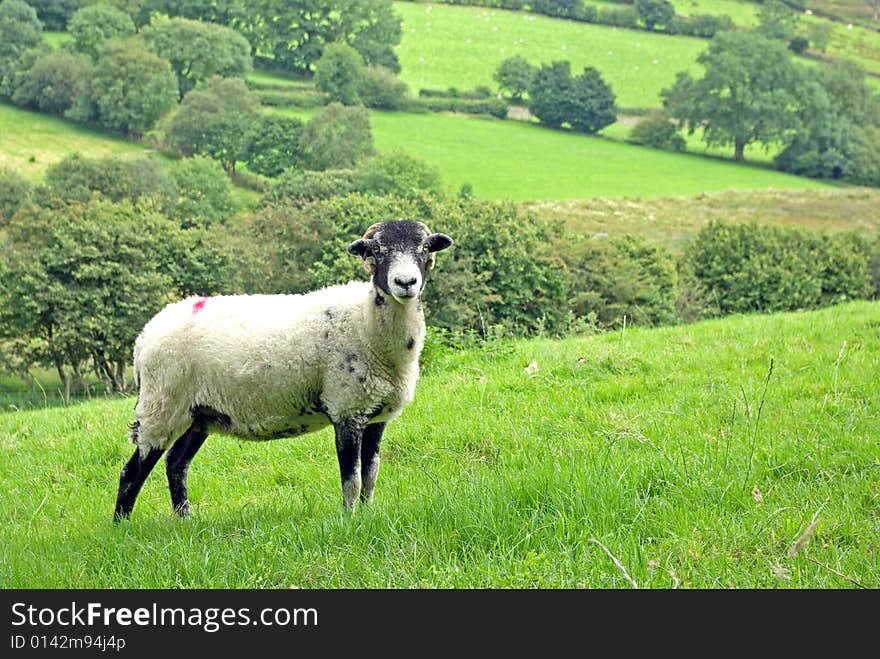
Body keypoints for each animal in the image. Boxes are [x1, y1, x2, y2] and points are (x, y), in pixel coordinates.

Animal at [111, 220, 454, 520]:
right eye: (377, 249)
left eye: (425, 247)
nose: (405, 283)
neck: (366, 320)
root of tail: (145, 337)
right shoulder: (346, 409)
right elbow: (352, 479)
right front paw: (349, 520)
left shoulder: (375, 415)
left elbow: (371, 475)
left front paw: (368, 515)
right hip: (162, 405)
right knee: (132, 471)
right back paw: (121, 526)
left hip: (199, 413)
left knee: (176, 464)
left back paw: (185, 519)